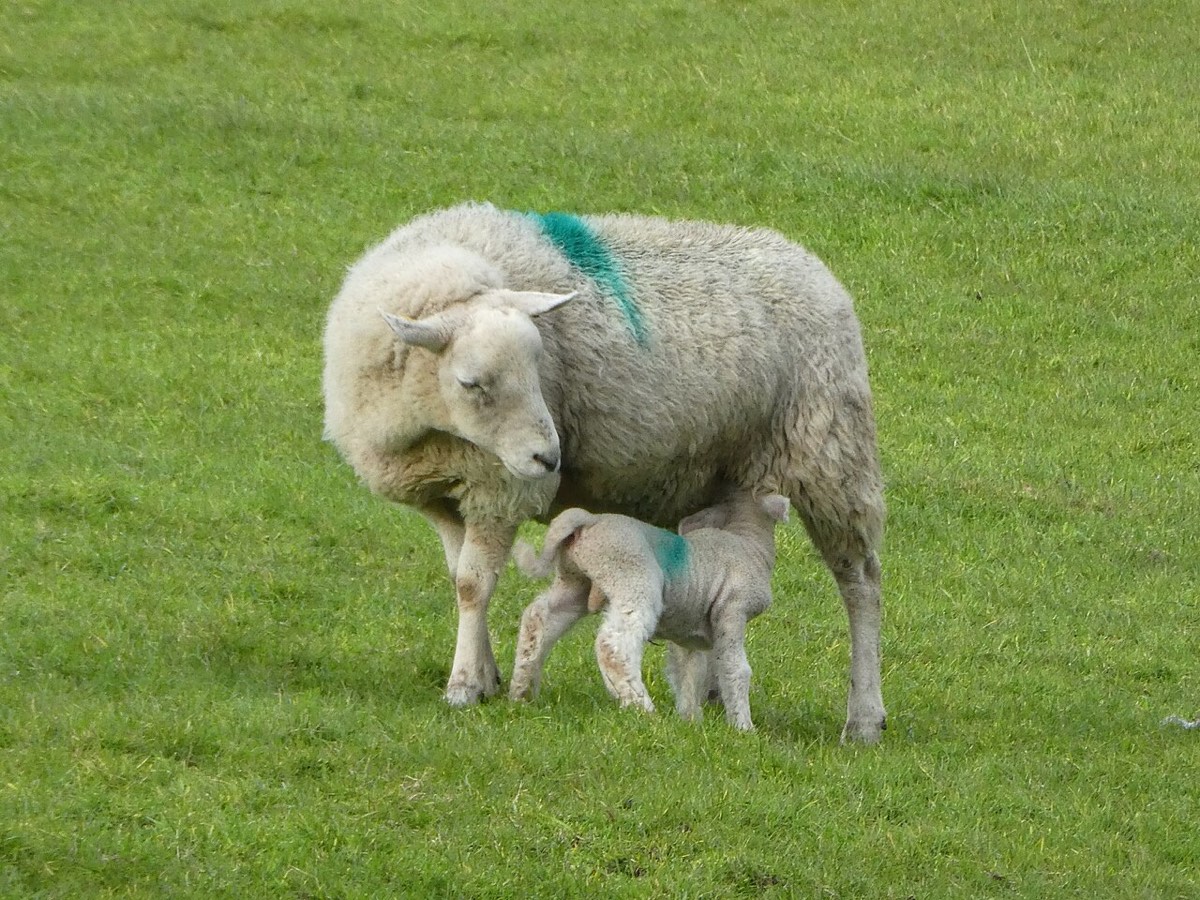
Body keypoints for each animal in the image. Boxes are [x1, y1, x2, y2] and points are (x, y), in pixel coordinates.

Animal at [509, 490, 790, 730]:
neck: (749, 543)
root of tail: (587, 520)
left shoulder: (688, 633)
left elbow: (689, 672)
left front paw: (690, 721)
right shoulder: (733, 609)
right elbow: (736, 668)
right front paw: (743, 727)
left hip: (574, 582)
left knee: (538, 616)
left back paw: (522, 690)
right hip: (634, 581)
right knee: (614, 645)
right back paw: (641, 707)